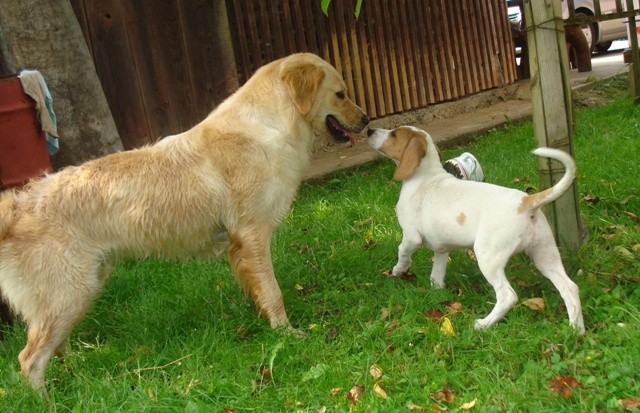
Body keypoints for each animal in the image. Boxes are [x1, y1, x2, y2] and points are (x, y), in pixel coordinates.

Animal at [1, 53, 370, 394]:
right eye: (340, 94)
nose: (366, 120)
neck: (271, 122)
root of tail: (18, 204)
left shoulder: (240, 247)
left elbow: (258, 290)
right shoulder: (252, 235)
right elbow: (274, 292)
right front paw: (286, 334)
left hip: (77, 291)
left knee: (54, 348)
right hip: (70, 293)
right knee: (29, 359)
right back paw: (48, 401)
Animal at [370, 126, 584, 334]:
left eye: (394, 134)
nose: (369, 130)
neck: (426, 175)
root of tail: (526, 201)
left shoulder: (411, 237)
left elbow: (402, 252)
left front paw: (398, 270)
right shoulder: (441, 249)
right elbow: (436, 276)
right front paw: (436, 293)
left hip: (488, 257)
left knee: (507, 295)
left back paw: (483, 324)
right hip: (545, 255)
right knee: (570, 288)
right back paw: (576, 330)